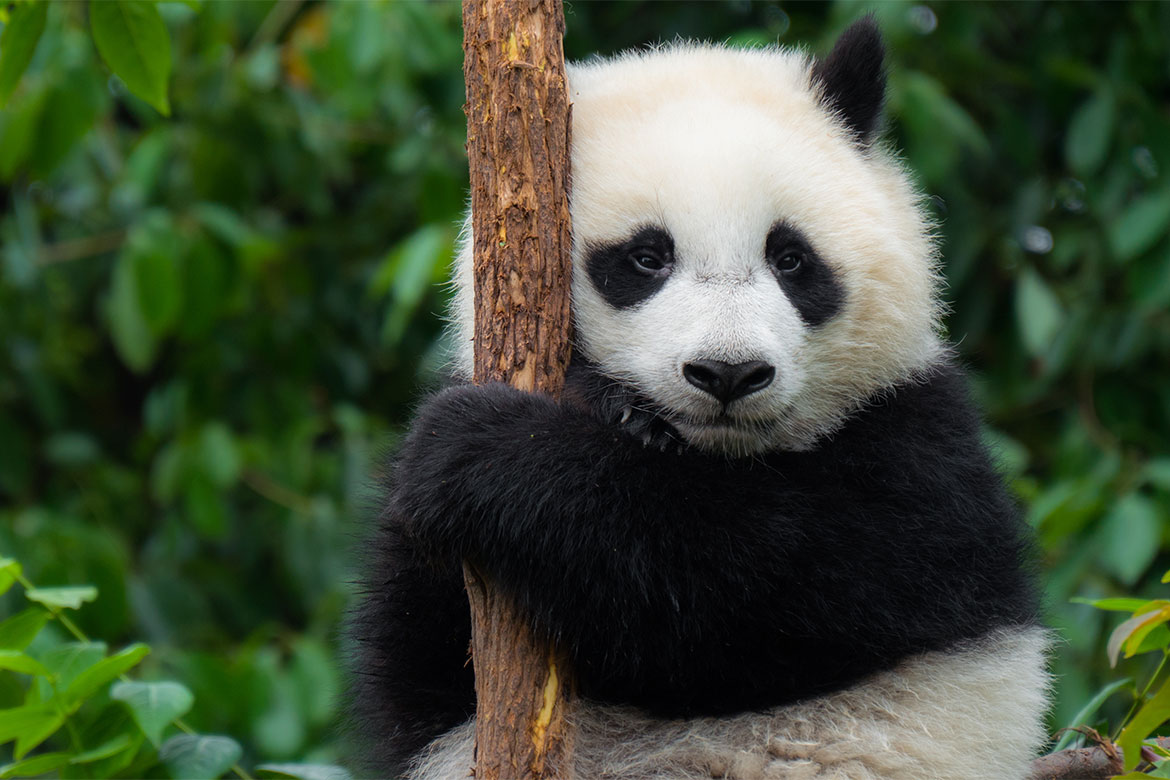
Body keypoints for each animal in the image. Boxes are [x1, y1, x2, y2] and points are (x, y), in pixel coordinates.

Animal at [350, 18, 1050, 780]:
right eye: (646, 258)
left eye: (791, 259)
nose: (728, 373)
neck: (719, 456)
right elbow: (419, 659)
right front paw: (610, 406)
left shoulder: (918, 447)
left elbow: (754, 589)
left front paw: (484, 450)